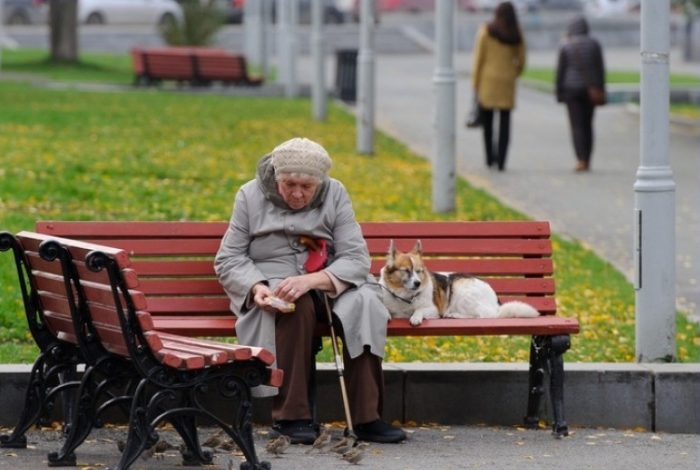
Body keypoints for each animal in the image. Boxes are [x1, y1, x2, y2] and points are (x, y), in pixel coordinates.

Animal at [380, 241, 540, 324]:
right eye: (406, 271)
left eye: (419, 271)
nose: (418, 283)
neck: (404, 297)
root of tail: (496, 303)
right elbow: (385, 309)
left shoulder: (434, 309)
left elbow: (419, 310)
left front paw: (415, 317)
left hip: (462, 290)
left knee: (483, 315)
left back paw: (455, 315)